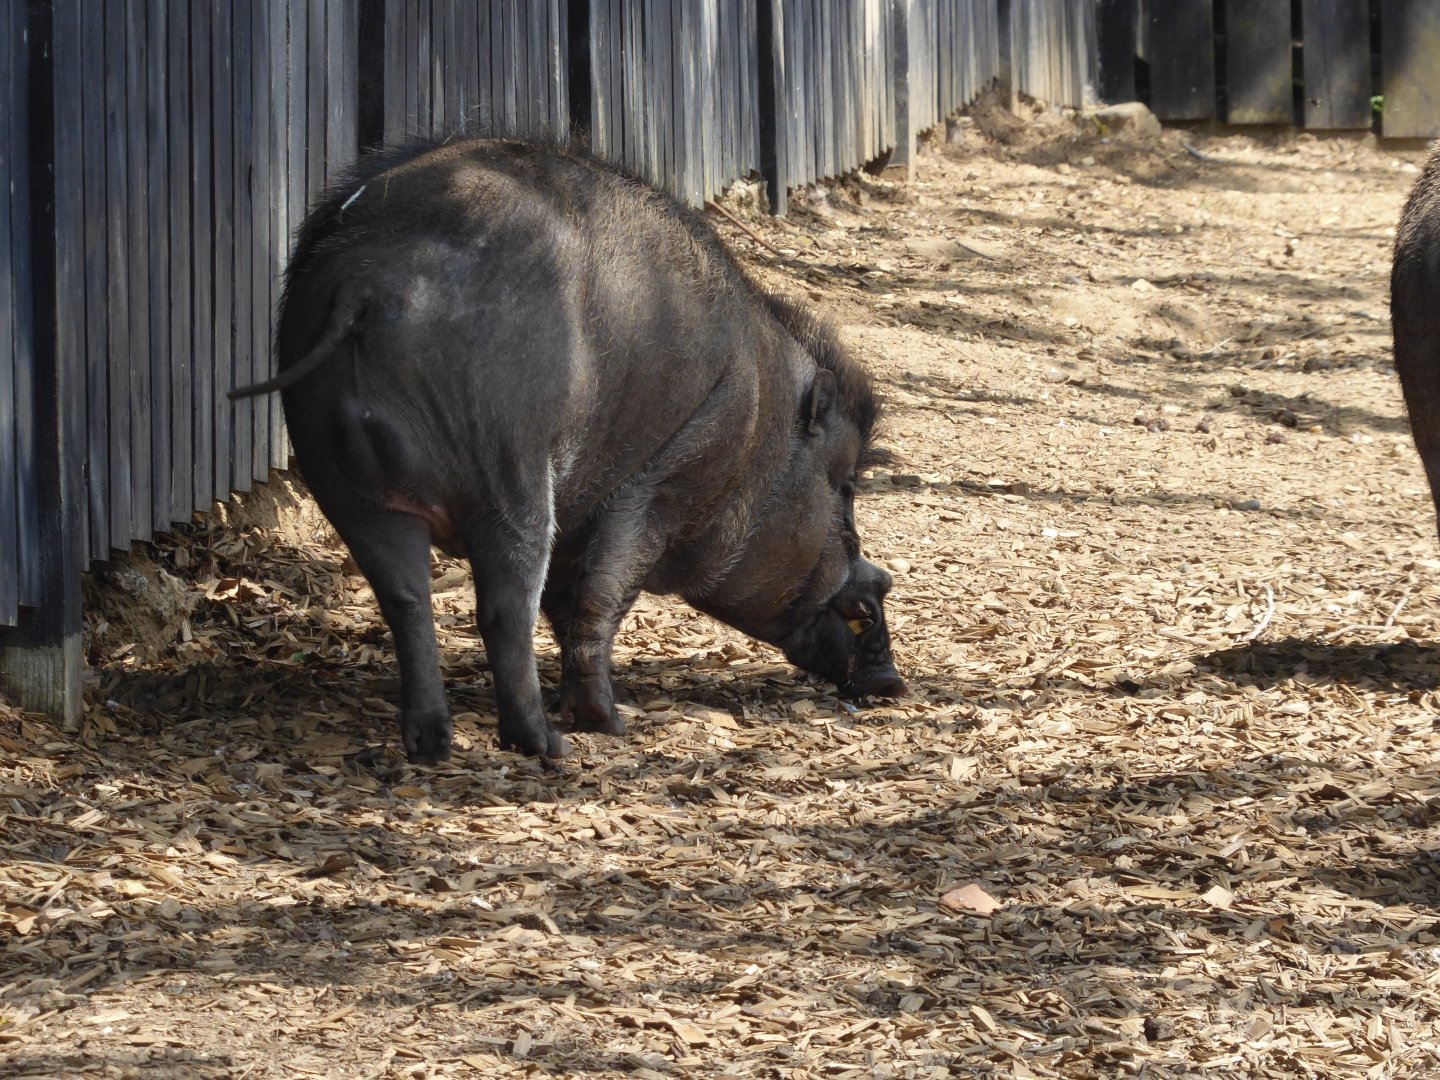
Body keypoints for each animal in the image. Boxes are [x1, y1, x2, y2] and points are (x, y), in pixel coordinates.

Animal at [232, 137, 905, 765]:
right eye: (845, 485)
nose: (894, 684)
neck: (761, 432)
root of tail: (367, 284)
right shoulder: (665, 483)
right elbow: (604, 591)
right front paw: (606, 719)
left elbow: (568, 599)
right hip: (508, 471)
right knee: (505, 607)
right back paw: (548, 744)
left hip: (346, 484)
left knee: (405, 600)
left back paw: (434, 744)